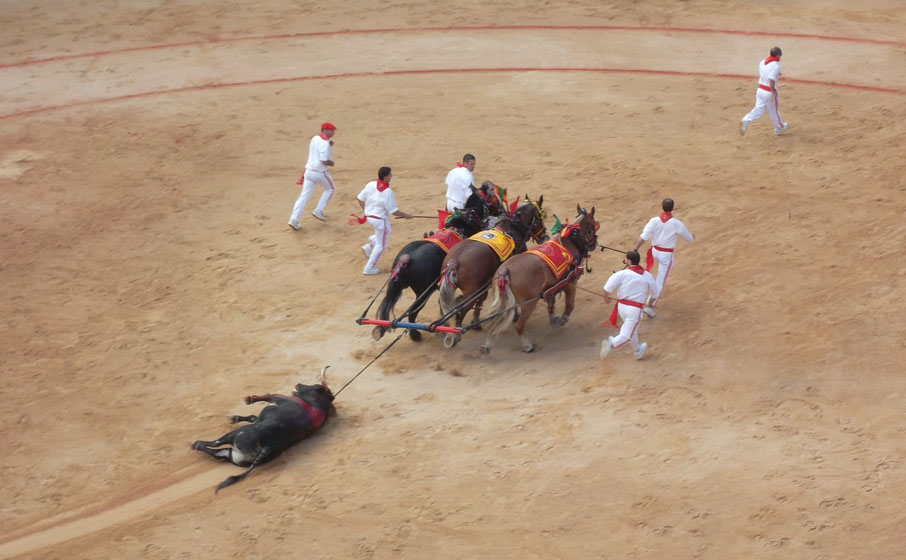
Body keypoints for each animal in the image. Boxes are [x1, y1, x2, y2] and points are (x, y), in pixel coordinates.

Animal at [191, 368, 336, 490]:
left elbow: (265, 396)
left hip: (236, 435)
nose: (299, 384)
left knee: (215, 443)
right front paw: (235, 418)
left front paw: (248, 400)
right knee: (217, 454)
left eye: (314, 386)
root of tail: (266, 448)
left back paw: (195, 443)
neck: (314, 403)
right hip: (233, 455)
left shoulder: (275, 397)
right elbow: (253, 417)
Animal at [436, 195, 548, 348]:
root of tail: (454, 262)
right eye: (539, 218)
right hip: (471, 292)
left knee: (445, 305)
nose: (545, 237)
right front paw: (515, 316)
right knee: (461, 309)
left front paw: (476, 321)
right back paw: (455, 335)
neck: (512, 227)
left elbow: (482, 299)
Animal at [476, 206, 596, 354]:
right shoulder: (571, 282)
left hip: (504, 302)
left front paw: (553, 319)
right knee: (519, 326)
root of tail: (504, 272)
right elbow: (569, 305)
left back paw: (486, 345)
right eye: (594, 224)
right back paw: (527, 345)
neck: (570, 241)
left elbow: (551, 304)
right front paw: (562, 320)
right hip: (529, 303)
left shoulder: (551, 287)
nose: (595, 243)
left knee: (494, 322)